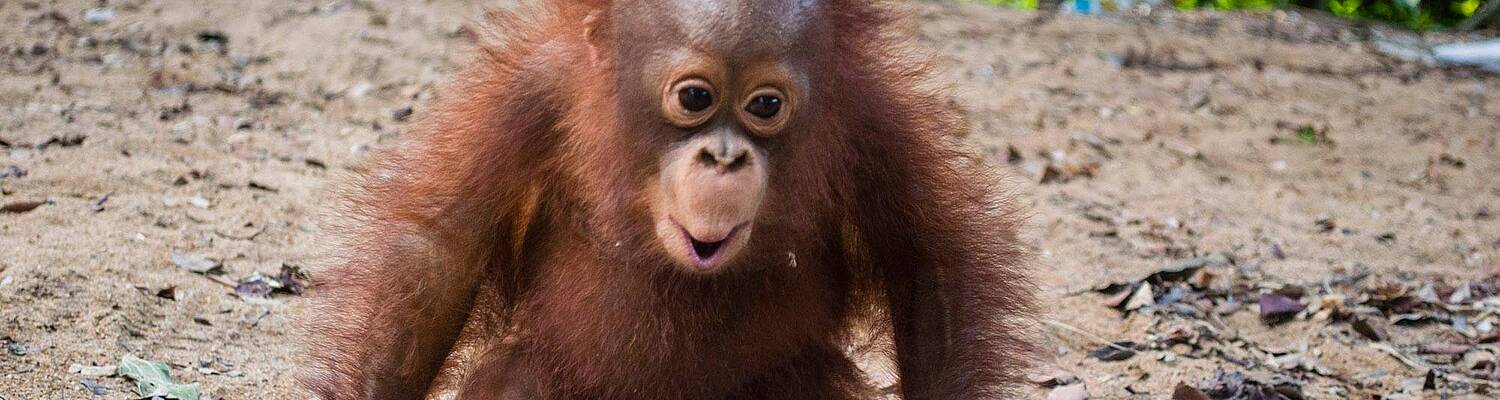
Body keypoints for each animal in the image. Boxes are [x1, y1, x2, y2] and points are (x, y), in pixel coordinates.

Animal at [302, 1, 1034, 399]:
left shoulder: (875, 119)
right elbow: (437, 255)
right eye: (695, 97)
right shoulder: (531, 93)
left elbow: (926, 267)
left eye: (765, 106)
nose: (726, 158)